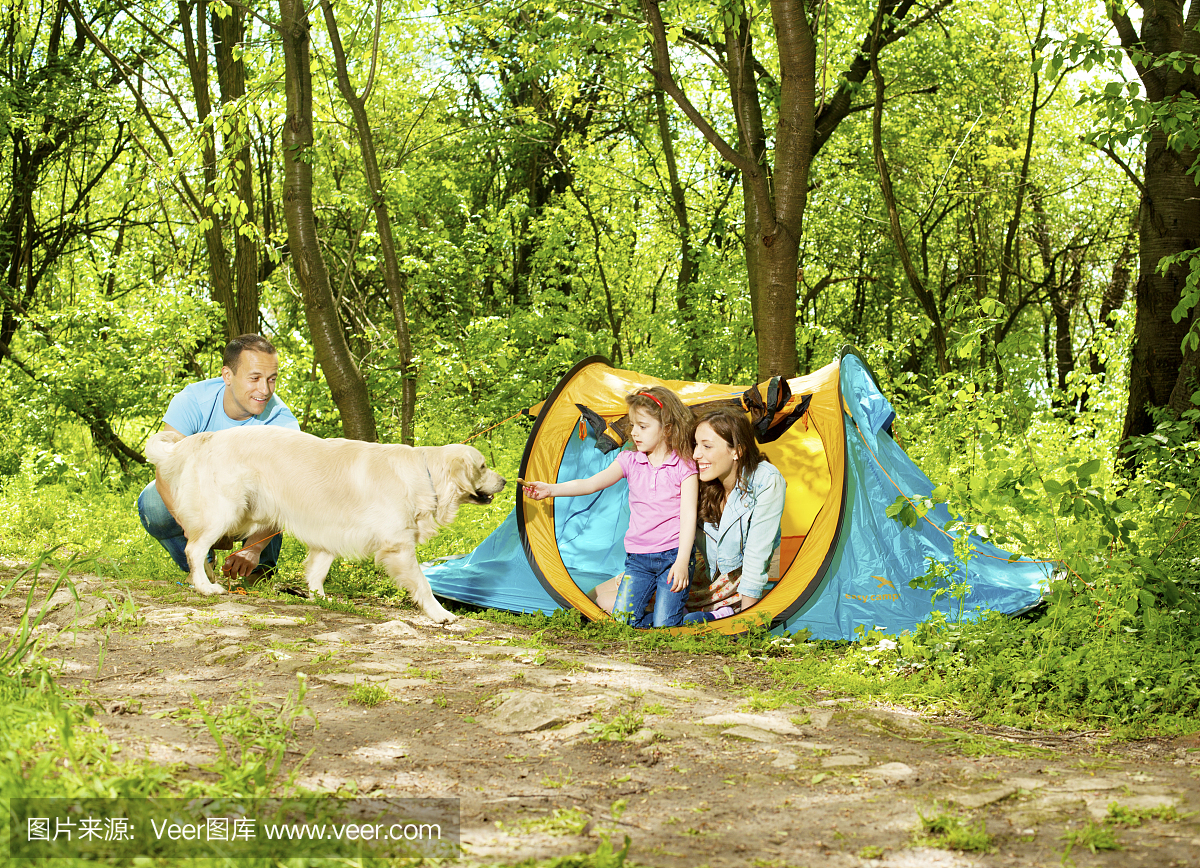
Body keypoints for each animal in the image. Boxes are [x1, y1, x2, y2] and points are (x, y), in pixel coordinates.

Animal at [142, 424, 504, 619]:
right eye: (483, 466)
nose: (503, 481)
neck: (424, 474)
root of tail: (203, 439)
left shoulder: (330, 530)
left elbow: (318, 570)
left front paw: (318, 596)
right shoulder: (398, 545)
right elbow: (423, 583)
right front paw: (441, 615)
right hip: (224, 511)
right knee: (194, 549)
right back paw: (205, 586)